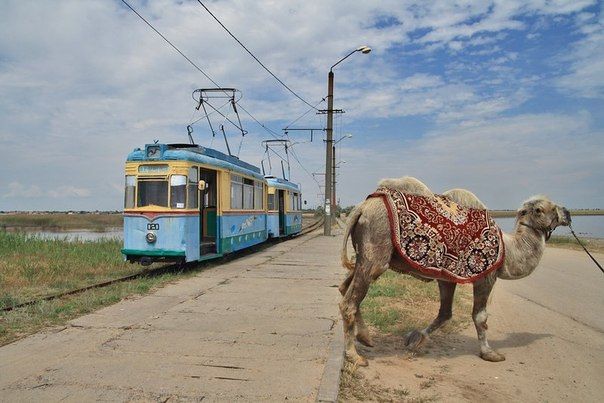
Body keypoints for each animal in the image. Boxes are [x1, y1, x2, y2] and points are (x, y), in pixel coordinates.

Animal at [340, 177, 572, 366]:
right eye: (543, 208)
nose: (568, 213)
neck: (508, 250)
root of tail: (362, 207)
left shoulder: (447, 278)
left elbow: (445, 313)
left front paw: (415, 340)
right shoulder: (486, 277)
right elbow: (480, 316)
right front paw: (490, 353)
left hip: (364, 255)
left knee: (345, 288)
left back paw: (366, 338)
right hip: (376, 252)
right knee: (349, 302)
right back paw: (355, 356)